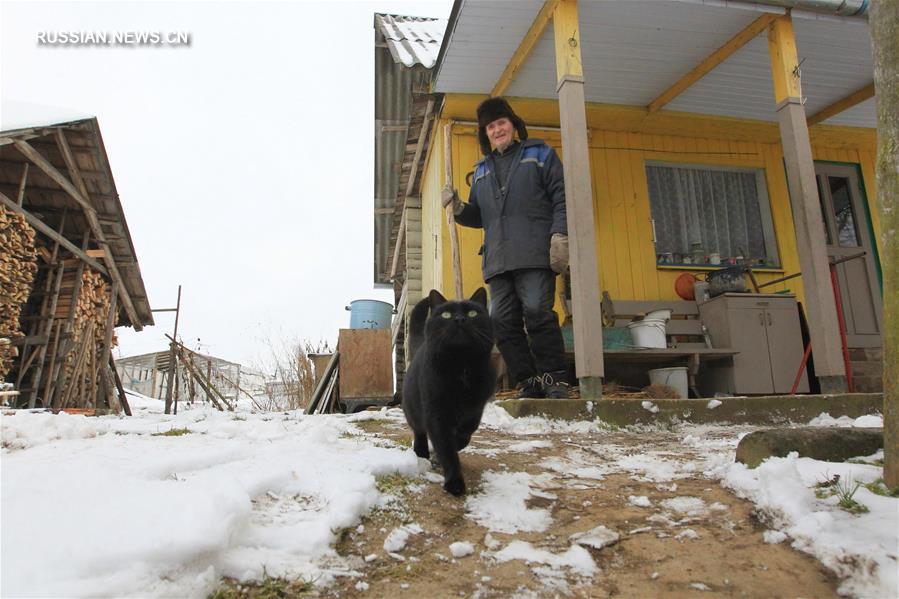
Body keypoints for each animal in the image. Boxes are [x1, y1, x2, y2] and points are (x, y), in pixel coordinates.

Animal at [402, 288, 496, 496]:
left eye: (472, 313)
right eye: (446, 315)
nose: (460, 319)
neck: (461, 366)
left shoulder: (476, 408)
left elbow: (466, 433)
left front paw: (456, 443)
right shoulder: (436, 413)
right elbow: (446, 448)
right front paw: (454, 482)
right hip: (413, 408)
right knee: (418, 431)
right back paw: (421, 453)